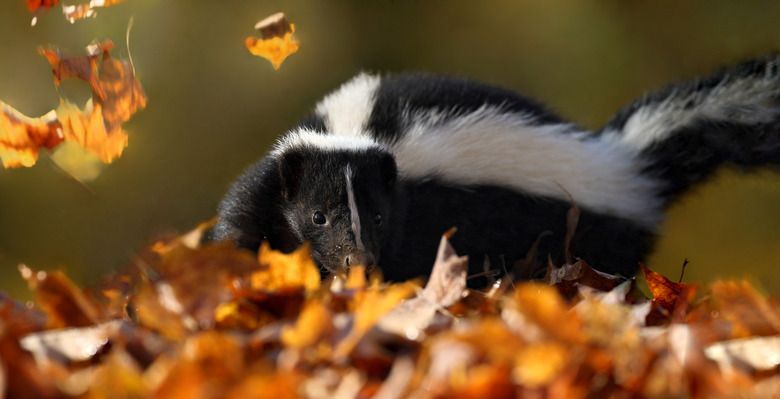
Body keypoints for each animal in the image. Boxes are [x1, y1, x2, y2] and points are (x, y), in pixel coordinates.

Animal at [213, 54, 780, 282]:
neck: (359, 127)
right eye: (318, 217)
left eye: (377, 217)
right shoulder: (273, 185)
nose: (360, 261)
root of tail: (627, 159)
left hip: (592, 240)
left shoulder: (421, 217)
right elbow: (242, 226)